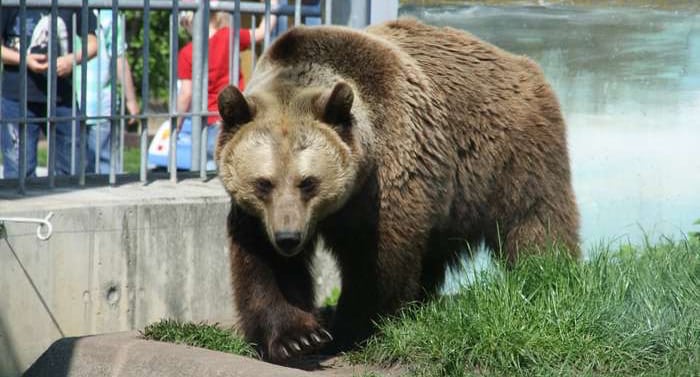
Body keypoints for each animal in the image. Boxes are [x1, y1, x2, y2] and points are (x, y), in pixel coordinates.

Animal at [216, 18, 576, 362]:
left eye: (308, 181)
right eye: (264, 182)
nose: (288, 238)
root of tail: (522, 63)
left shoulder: (389, 173)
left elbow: (378, 260)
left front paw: (354, 327)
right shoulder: (258, 215)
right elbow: (263, 265)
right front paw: (297, 338)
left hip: (512, 156)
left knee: (536, 221)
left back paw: (546, 275)